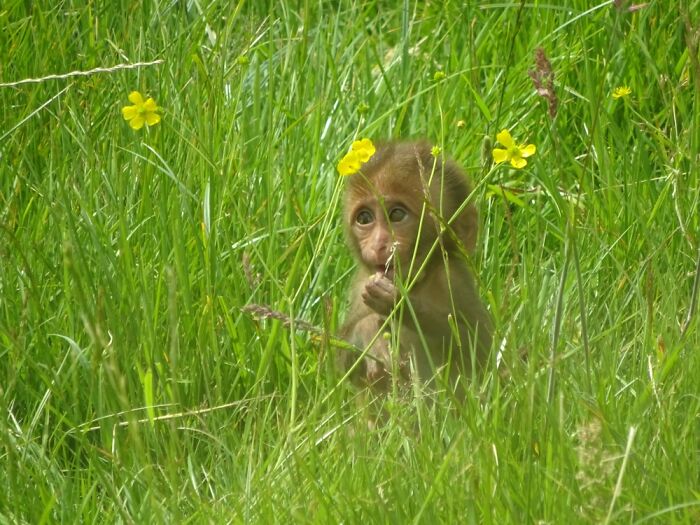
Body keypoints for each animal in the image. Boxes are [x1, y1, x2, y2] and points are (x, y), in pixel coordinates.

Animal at [338, 141, 492, 397]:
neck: (419, 280)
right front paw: (370, 332)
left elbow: (480, 345)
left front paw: (399, 304)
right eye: (364, 218)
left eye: (397, 214)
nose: (379, 244)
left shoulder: (452, 278)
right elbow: (338, 359)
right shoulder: (361, 284)